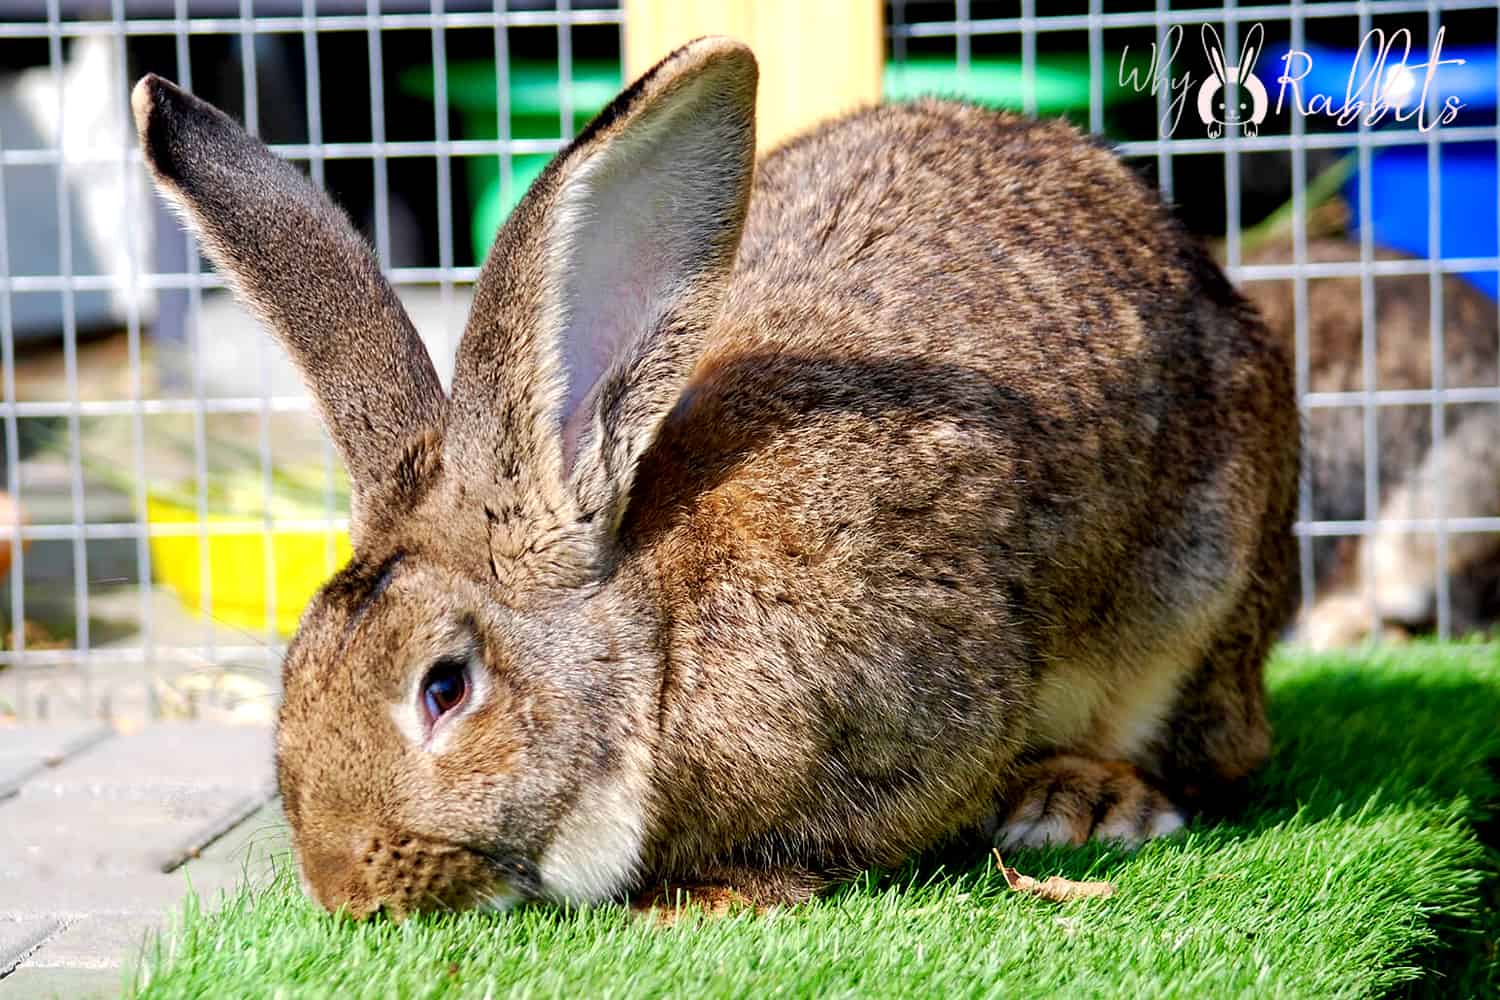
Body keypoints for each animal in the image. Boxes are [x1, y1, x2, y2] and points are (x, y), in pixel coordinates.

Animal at [132, 35, 1302, 917]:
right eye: (297, 672)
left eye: (445, 688)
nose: (345, 891)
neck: (656, 642)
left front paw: (708, 898)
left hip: (1200, 597)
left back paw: (1083, 802)